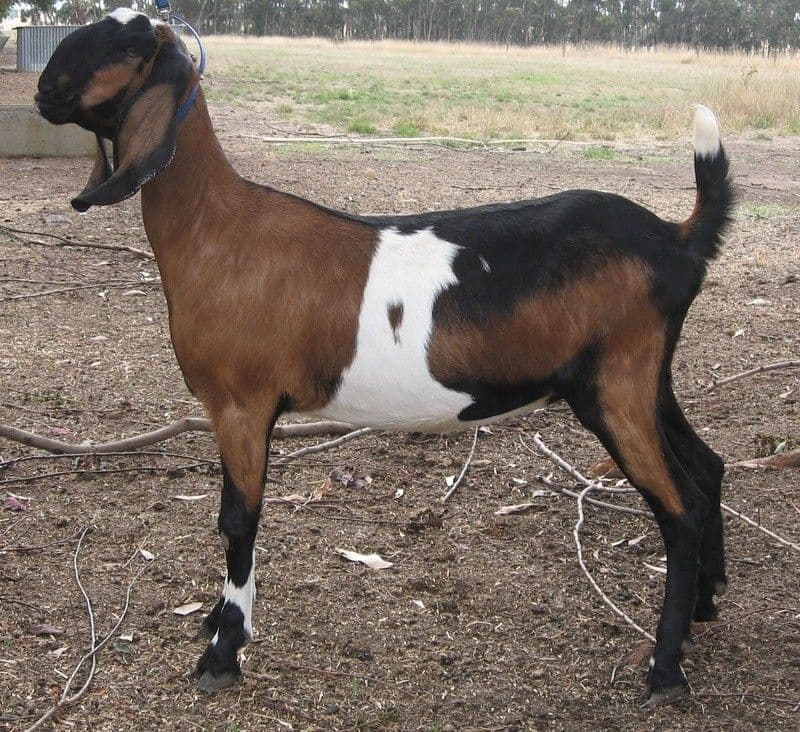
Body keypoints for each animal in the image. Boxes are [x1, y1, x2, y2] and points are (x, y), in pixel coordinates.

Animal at [36, 10, 733, 704]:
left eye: (127, 44)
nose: (43, 90)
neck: (219, 230)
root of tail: (676, 239)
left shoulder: (240, 402)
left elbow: (238, 520)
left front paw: (223, 651)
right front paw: (216, 624)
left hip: (614, 384)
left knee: (679, 507)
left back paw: (665, 668)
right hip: (645, 377)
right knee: (706, 468)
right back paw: (704, 607)